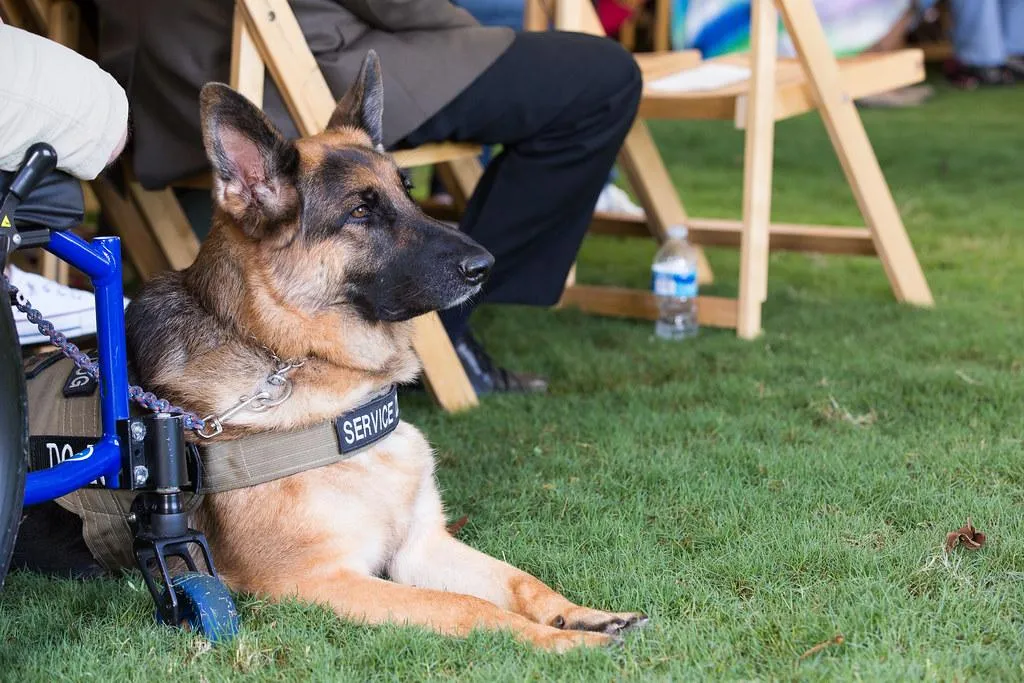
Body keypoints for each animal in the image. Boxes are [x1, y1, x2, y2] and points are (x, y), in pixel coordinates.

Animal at [117, 53, 647, 651]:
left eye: (408, 190)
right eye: (359, 213)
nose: (486, 266)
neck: (298, 358)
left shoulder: (423, 546)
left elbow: (520, 581)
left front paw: (581, 616)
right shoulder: (320, 581)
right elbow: (469, 608)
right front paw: (565, 644)